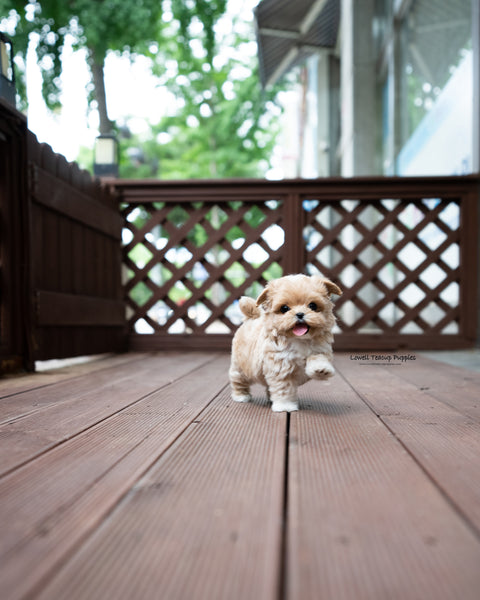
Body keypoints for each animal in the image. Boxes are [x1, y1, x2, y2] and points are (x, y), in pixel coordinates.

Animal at [229, 274, 342, 410]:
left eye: (313, 306)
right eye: (284, 308)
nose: (300, 314)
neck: (299, 340)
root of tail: (252, 317)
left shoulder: (319, 349)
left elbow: (317, 357)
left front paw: (321, 369)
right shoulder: (280, 368)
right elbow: (284, 389)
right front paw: (285, 405)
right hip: (240, 366)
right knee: (238, 380)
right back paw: (241, 396)